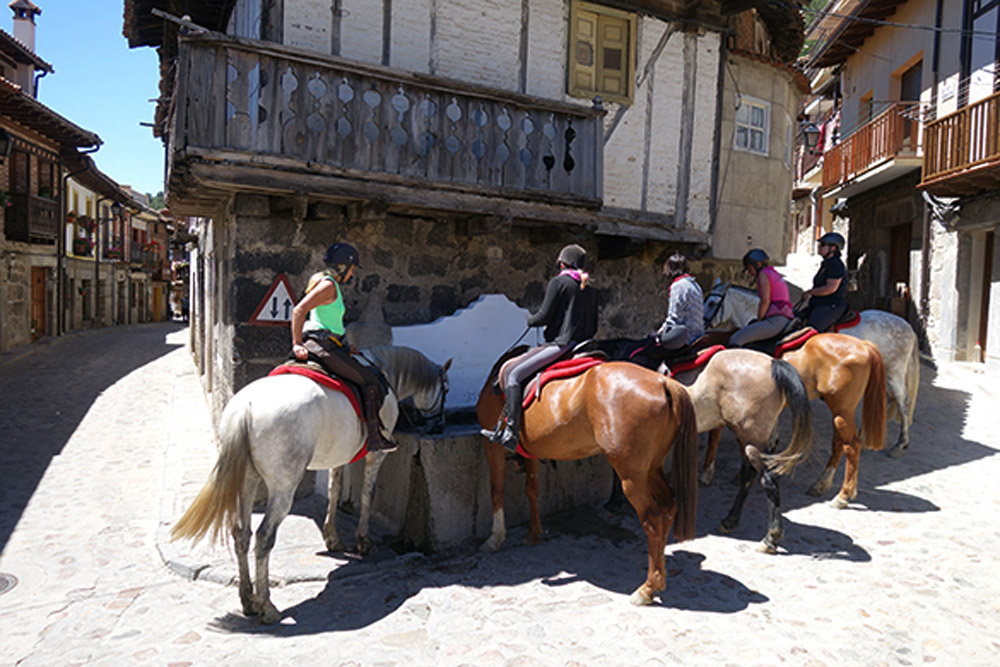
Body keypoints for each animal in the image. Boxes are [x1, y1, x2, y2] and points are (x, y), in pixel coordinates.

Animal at [173, 348, 454, 624]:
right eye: (446, 389)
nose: (439, 425)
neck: (386, 370)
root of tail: (246, 408)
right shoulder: (377, 455)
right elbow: (367, 493)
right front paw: (364, 541)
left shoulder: (339, 455)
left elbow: (334, 490)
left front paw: (333, 538)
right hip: (284, 487)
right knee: (264, 536)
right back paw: (267, 607)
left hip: (246, 481)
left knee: (242, 533)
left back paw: (248, 600)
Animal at [474, 350, 696, 604]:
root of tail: (662, 382)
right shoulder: (531, 451)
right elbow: (532, 489)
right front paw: (533, 533)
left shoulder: (493, 447)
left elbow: (496, 489)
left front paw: (495, 538)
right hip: (651, 468)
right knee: (669, 507)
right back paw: (660, 578)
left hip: (632, 475)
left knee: (653, 519)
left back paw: (647, 589)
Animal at [700, 280, 916, 456]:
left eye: (711, 303)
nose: (702, 326)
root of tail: (907, 326)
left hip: (895, 372)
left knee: (903, 402)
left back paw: (901, 444)